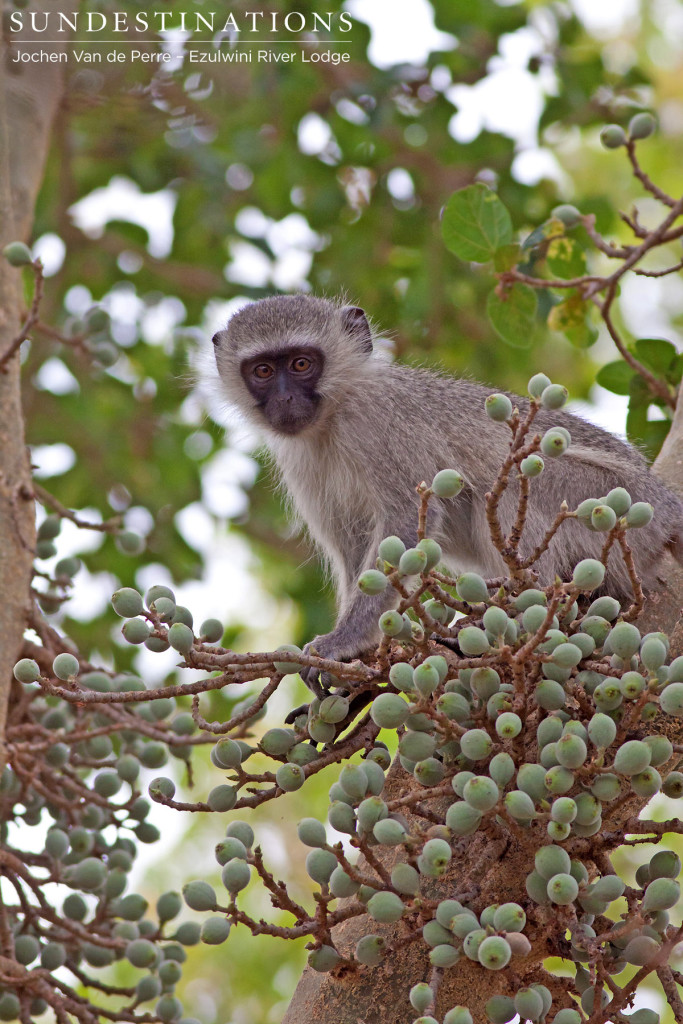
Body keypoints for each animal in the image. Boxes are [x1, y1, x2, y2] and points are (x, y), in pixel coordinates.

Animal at [214, 296, 683, 696]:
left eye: (301, 363)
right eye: (262, 371)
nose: (285, 398)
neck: (332, 416)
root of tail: (663, 503)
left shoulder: (378, 420)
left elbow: (404, 522)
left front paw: (343, 642)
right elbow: (352, 546)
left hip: (610, 500)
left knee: (510, 483)